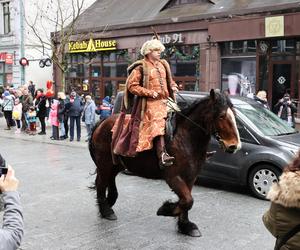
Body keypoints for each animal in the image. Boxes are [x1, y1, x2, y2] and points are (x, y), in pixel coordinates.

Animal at [89, 89, 241, 236]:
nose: (234, 145)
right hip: (104, 164)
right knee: (101, 183)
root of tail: (102, 122)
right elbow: (188, 200)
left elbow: (187, 200)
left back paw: (108, 203)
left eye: (233, 115)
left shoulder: (190, 177)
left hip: (116, 164)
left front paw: (185, 225)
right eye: (221, 116)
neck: (185, 139)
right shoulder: (173, 177)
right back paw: (106, 211)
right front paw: (166, 209)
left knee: (109, 180)